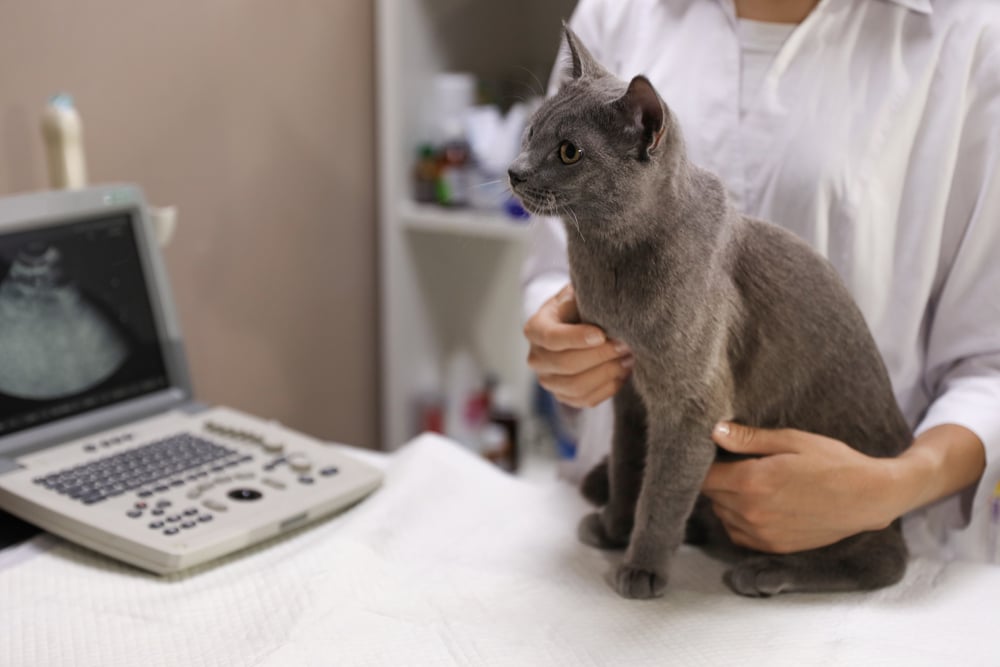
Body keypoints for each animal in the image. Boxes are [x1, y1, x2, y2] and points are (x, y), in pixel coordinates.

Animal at [512, 27, 912, 600]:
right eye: (531, 131)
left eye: (569, 152)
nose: (514, 171)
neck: (609, 259)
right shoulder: (630, 391)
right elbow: (631, 465)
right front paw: (613, 527)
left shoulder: (690, 402)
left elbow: (661, 492)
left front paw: (642, 568)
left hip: (859, 498)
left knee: (884, 559)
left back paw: (764, 572)